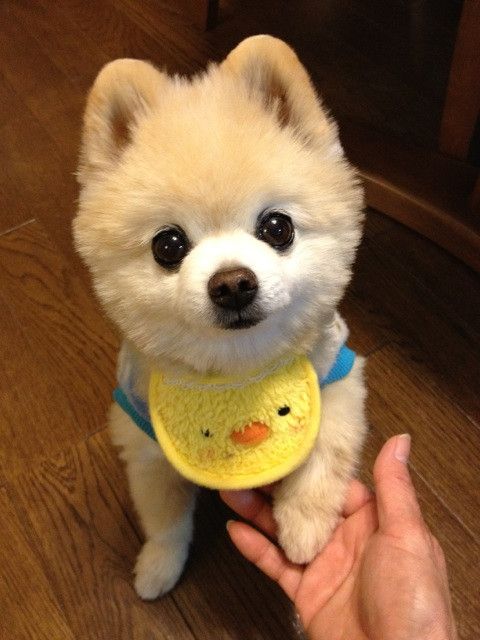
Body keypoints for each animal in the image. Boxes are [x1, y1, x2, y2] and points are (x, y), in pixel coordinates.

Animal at [74, 36, 368, 600]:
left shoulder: (337, 377)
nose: (232, 283)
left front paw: (303, 529)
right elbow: (165, 516)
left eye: (277, 227)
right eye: (168, 245)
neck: (236, 362)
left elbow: (324, 456)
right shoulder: (144, 437)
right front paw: (159, 566)